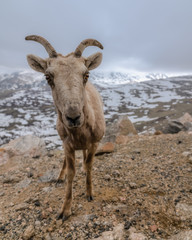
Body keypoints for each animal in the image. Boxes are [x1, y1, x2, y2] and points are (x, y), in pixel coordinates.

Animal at [25, 35, 105, 221]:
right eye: (48, 77)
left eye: (86, 74)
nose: (73, 117)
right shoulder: (67, 145)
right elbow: (71, 172)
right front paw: (64, 211)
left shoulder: (94, 143)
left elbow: (89, 165)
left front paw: (89, 194)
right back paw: (59, 178)